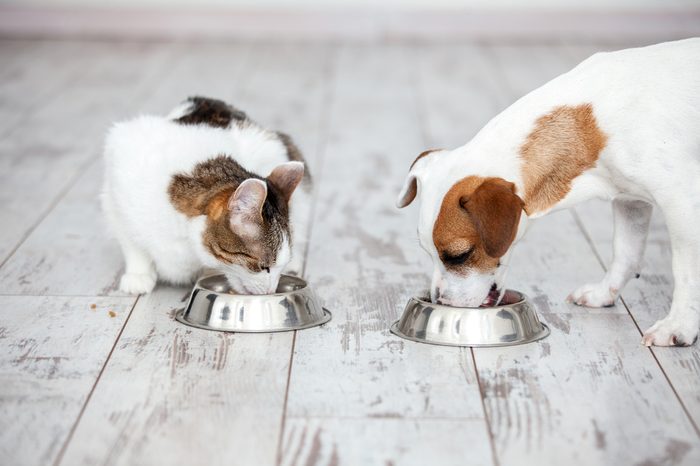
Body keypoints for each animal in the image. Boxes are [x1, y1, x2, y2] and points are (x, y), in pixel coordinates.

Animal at [102, 96, 310, 294]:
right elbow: (131, 243)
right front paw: (138, 274)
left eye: (278, 267)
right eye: (263, 267)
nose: (271, 290)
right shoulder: (116, 186)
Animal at [400, 39, 700, 346]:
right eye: (427, 251)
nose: (440, 301)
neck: (591, 124)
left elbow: (685, 271)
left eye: (459, 256)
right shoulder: (630, 201)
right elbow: (625, 253)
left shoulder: (682, 202)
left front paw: (679, 326)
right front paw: (604, 292)